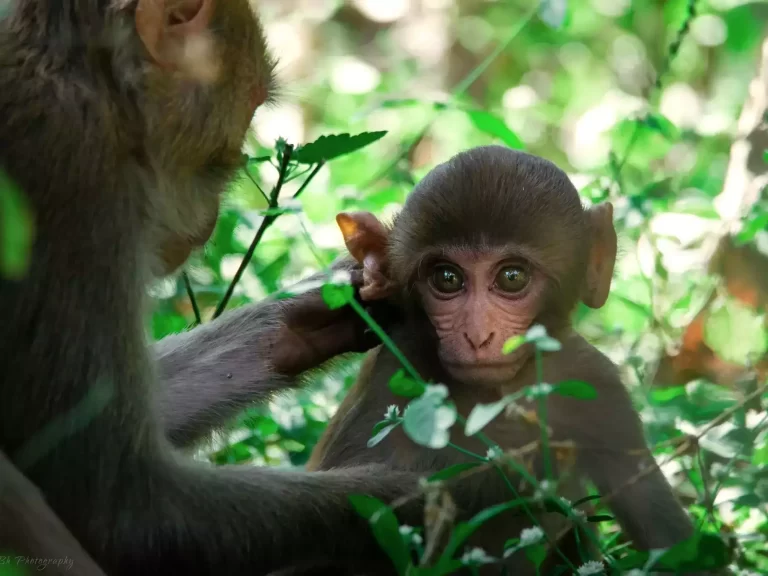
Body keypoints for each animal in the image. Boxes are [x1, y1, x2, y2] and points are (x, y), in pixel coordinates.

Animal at [0, 1, 426, 574]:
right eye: (250, 103)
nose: (218, 207)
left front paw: (316, 312)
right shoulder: (77, 178)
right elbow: (125, 509)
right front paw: (451, 491)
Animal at [304, 146, 699, 574]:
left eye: (512, 277)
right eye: (447, 278)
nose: (478, 336)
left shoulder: (596, 385)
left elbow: (670, 540)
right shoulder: (392, 376)